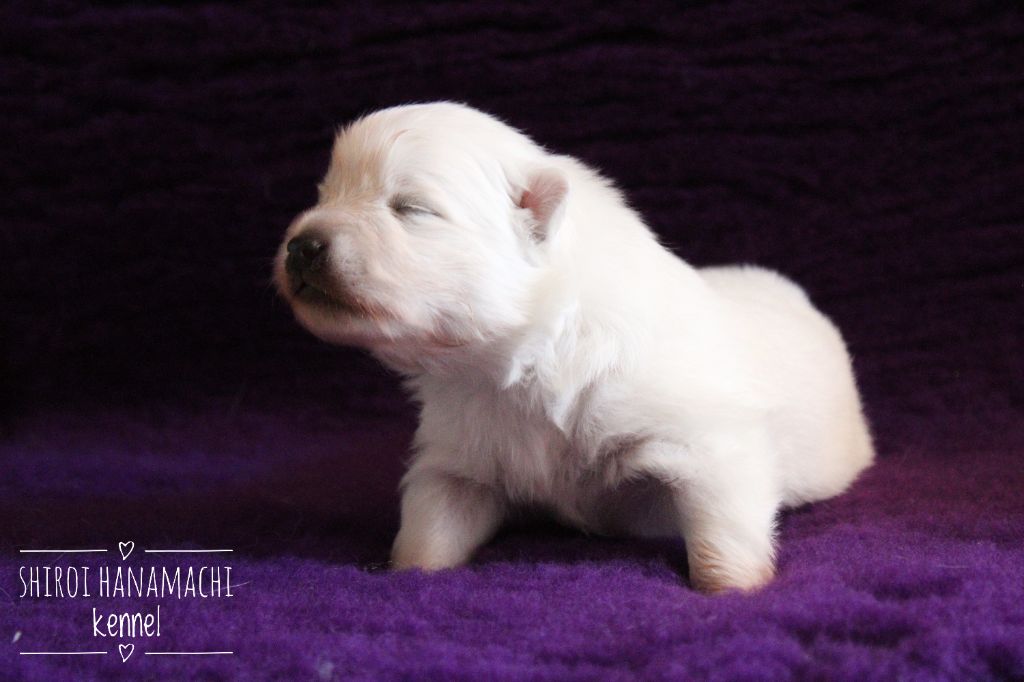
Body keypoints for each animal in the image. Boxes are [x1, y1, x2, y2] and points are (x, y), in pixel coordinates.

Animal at [275, 102, 874, 592]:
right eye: (325, 194)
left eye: (410, 208)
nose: (300, 246)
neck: (513, 366)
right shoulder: (457, 456)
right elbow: (429, 527)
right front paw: (405, 569)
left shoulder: (710, 442)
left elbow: (722, 526)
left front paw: (732, 588)